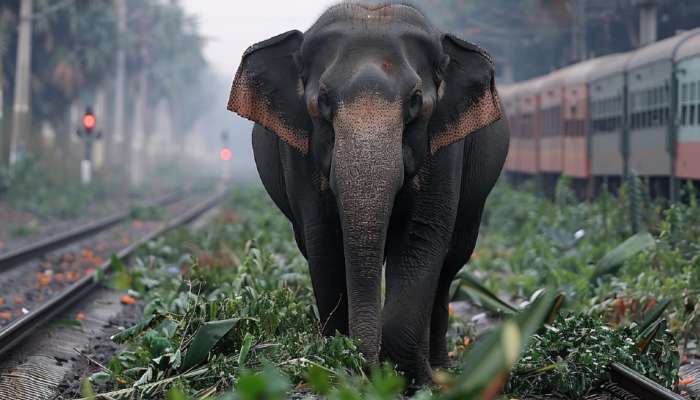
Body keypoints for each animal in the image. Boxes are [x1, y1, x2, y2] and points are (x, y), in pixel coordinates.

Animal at [228, 3, 508, 384]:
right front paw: (341, 365)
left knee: (450, 264)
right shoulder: (299, 152)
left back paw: (438, 369)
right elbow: (324, 241)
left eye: (416, 101)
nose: (368, 368)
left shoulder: (446, 147)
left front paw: (412, 381)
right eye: (323, 100)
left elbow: (423, 236)